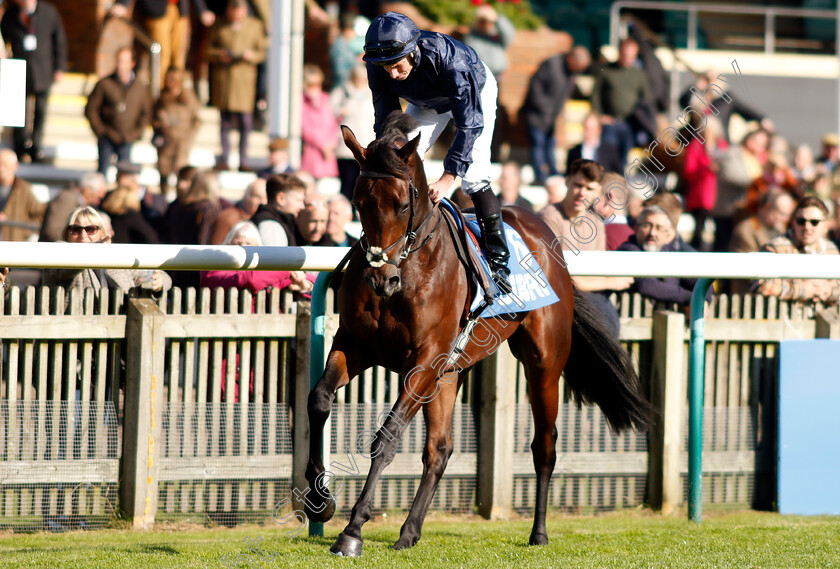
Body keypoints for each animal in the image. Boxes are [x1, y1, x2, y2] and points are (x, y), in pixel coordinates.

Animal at [302, 112, 648, 556]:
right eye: (358, 203)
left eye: (401, 204)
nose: (381, 279)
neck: (412, 266)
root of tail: (544, 232)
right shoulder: (357, 344)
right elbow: (319, 400)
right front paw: (319, 500)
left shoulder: (424, 360)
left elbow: (387, 436)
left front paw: (352, 530)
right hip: (451, 373)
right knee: (440, 449)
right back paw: (409, 532)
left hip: (543, 363)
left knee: (544, 445)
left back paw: (538, 533)